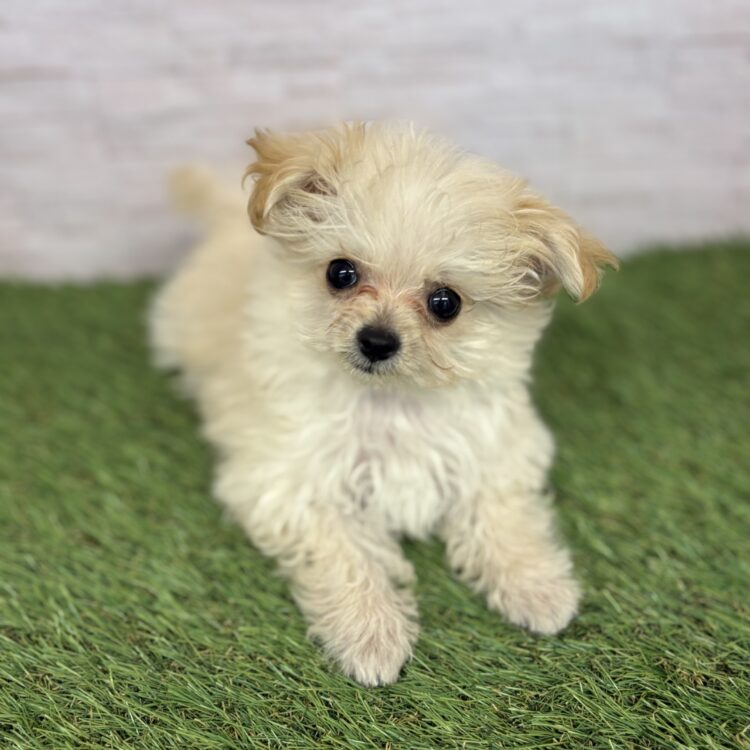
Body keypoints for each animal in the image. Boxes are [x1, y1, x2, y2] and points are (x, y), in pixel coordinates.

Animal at [150, 122, 617, 686]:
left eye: (445, 303)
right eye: (341, 273)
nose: (376, 341)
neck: (392, 401)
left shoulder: (496, 453)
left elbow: (502, 515)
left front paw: (538, 587)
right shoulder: (292, 484)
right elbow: (346, 553)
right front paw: (371, 634)